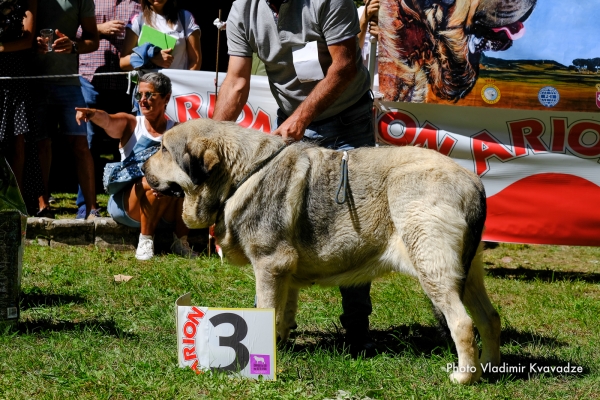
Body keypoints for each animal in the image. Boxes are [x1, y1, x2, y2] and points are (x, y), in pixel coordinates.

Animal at [145, 119, 502, 384]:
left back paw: (464, 377)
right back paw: (490, 367)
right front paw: (280, 343)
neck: (241, 173)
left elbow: (265, 307)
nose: (144, 163)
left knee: (463, 324)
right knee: (490, 318)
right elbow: (283, 312)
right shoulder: (284, 271)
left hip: (433, 267)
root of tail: (473, 183)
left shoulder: (269, 265)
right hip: (469, 273)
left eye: (163, 149)